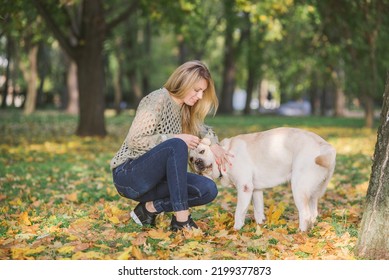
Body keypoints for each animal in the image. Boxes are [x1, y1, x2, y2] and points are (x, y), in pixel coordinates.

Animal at [189, 128, 334, 231]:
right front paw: (260, 227)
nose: (197, 162)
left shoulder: (245, 188)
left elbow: (239, 212)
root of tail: (325, 146)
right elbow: (258, 211)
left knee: (305, 214)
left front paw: (236, 230)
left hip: (298, 188)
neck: (226, 152)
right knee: (313, 214)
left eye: (202, 151)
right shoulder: (256, 190)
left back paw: (300, 233)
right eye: (190, 159)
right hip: (313, 192)